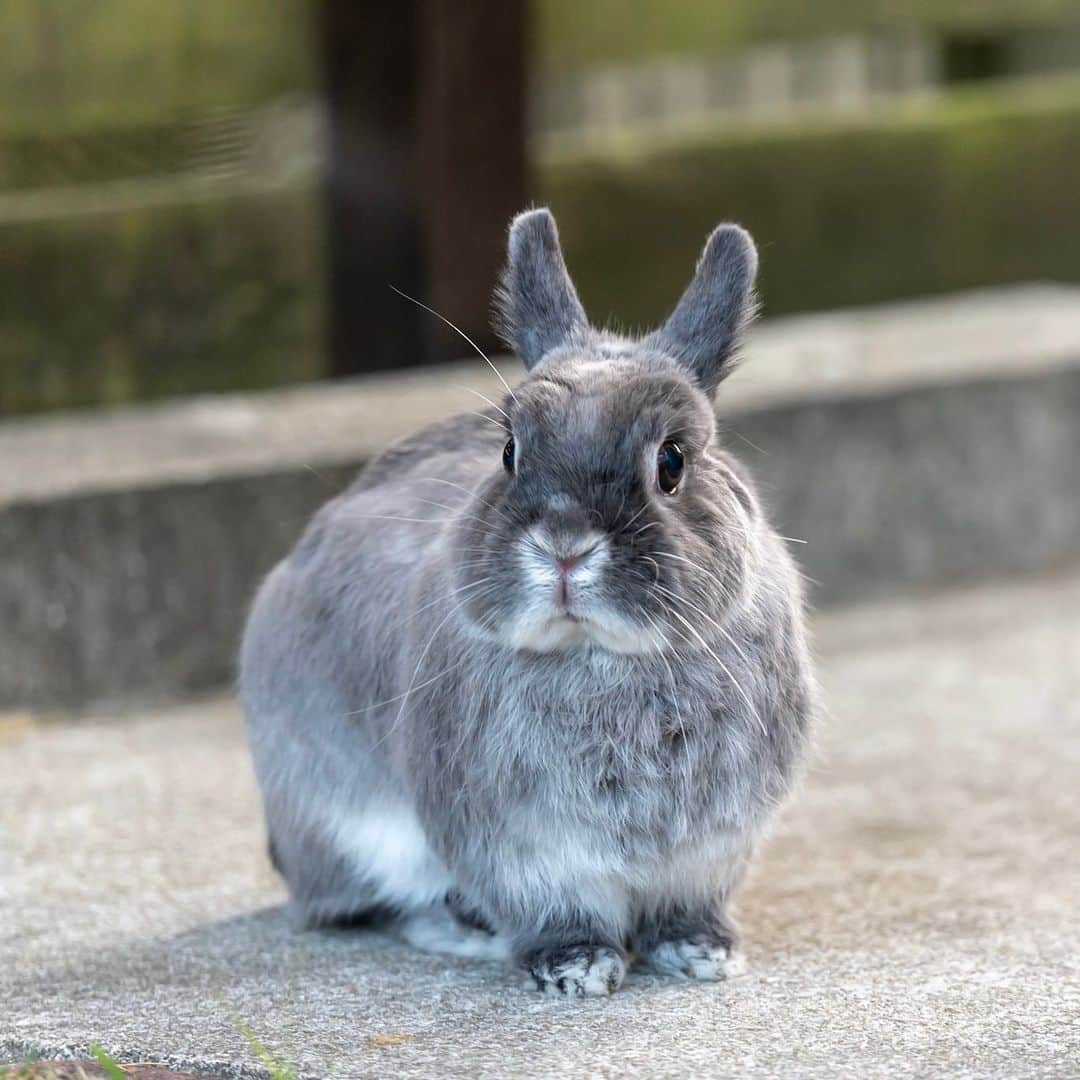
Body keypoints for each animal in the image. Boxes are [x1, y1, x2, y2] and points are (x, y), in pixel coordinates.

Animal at [243, 208, 816, 993]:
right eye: (510, 451)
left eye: (671, 462)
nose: (565, 545)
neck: (602, 659)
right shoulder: (516, 849)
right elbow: (552, 909)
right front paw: (578, 968)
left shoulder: (710, 849)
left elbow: (687, 905)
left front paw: (702, 951)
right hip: (346, 828)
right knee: (373, 908)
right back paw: (468, 930)